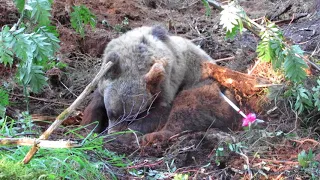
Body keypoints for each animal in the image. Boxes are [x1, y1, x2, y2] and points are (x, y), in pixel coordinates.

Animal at [81, 25, 238, 135]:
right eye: (112, 113)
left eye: (133, 116)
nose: (112, 131)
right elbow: (95, 103)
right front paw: (89, 127)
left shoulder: (165, 86)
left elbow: (158, 113)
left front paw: (126, 133)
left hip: (204, 85)